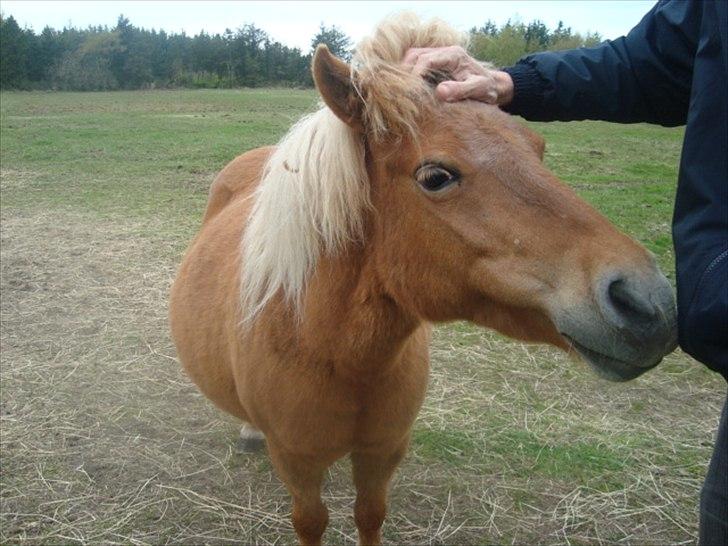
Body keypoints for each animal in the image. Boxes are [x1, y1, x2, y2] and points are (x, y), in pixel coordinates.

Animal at [171, 13, 676, 544]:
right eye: (436, 177)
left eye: (538, 149)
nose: (646, 302)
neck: (325, 347)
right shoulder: (297, 462)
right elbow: (311, 522)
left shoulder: (383, 452)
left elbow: (370, 514)